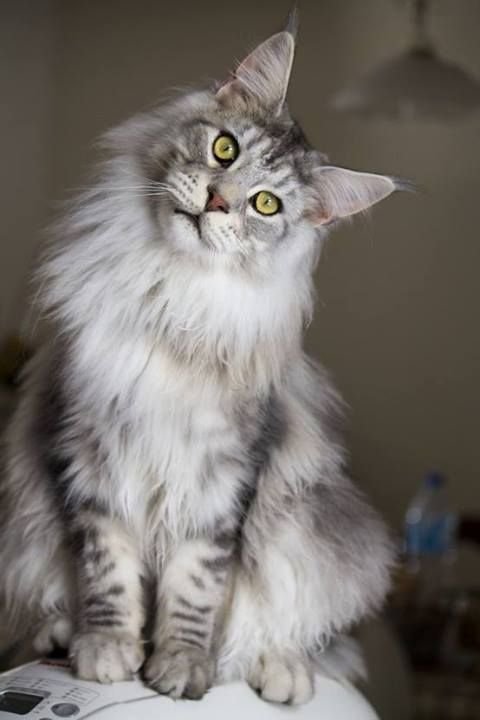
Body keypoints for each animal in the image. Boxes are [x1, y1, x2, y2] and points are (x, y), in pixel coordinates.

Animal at [1, 18, 404, 708]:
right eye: (223, 149)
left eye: (266, 205)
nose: (217, 200)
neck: (173, 299)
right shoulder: (86, 452)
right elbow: (107, 572)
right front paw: (108, 650)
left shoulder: (224, 480)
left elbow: (195, 587)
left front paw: (181, 667)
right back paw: (59, 634)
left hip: (308, 533)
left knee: (297, 632)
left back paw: (283, 673)